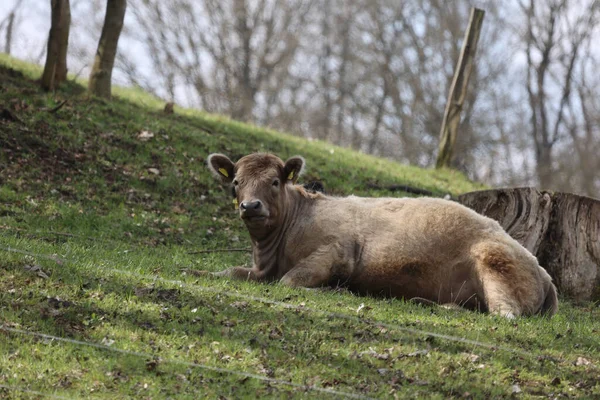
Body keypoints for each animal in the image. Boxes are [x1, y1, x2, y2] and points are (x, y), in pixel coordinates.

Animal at [205, 152, 556, 318]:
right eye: (235, 183)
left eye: (275, 182)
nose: (251, 205)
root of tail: (541, 269)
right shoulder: (258, 269)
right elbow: (229, 272)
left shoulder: (337, 251)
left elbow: (289, 281)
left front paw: (334, 290)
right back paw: (427, 303)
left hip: (495, 265)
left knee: (503, 315)